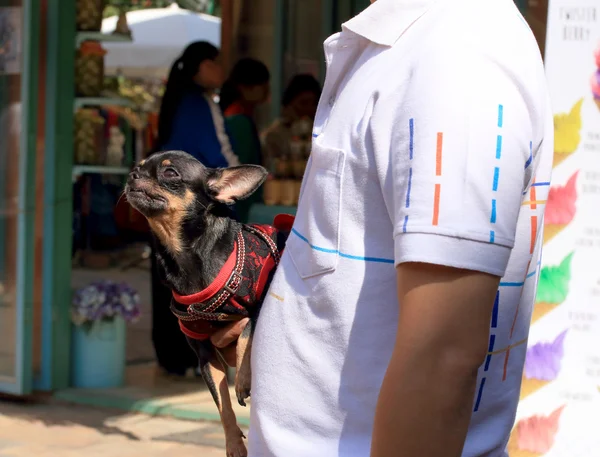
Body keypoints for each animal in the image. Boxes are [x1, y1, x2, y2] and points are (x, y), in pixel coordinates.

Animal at [126, 151, 292, 456]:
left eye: (170, 173)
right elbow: (222, 404)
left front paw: (243, 379)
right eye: (138, 167)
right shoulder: (206, 356)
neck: (185, 257)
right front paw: (233, 443)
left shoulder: (262, 301)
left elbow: (246, 335)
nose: (132, 174)